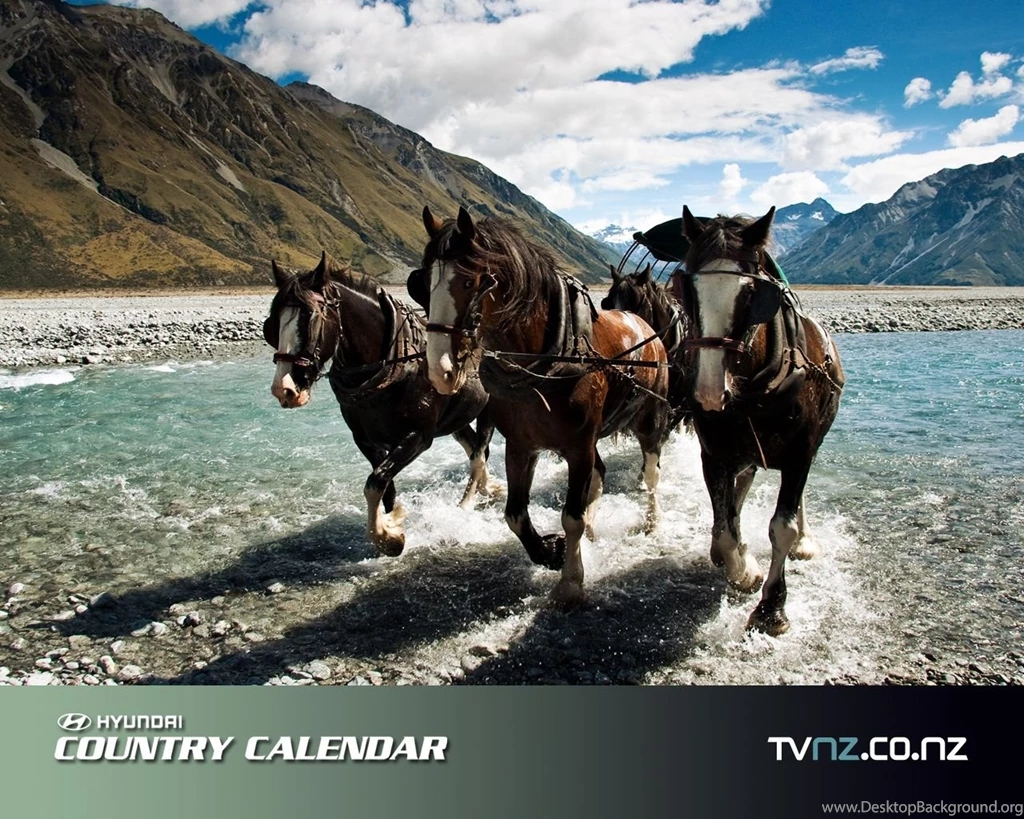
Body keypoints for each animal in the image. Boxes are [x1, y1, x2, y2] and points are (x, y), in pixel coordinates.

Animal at [264, 251, 499, 556]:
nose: (284, 389)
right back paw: (487, 488)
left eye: (310, 318)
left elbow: (375, 482)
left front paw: (388, 537)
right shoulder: (366, 440)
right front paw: (392, 526)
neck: (394, 361)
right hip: (457, 418)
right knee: (475, 449)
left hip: (490, 410)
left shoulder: (418, 436)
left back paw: (468, 502)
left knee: (479, 454)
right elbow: (385, 486)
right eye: (272, 323)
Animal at [417, 205, 672, 607]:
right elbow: (516, 515)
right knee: (600, 477)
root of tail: (645, 326)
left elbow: (572, 516)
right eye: (424, 282)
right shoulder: (522, 446)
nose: (439, 370)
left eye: (471, 283)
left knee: (650, 475)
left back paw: (651, 521)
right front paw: (551, 551)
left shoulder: (579, 447)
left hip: (651, 423)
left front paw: (570, 581)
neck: (545, 361)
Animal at [673, 205, 845, 636]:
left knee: (792, 503)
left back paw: (805, 541)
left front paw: (771, 608)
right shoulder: (714, 453)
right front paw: (744, 569)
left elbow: (781, 526)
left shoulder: (801, 454)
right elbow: (723, 526)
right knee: (739, 491)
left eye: (753, 294)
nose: (708, 392)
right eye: (688, 290)